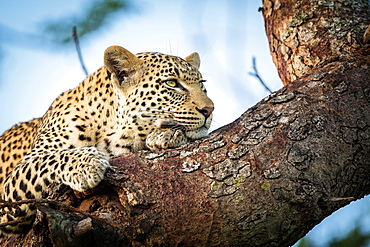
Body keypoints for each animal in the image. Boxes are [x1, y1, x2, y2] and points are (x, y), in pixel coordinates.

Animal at [0, 45, 214, 233]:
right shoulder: (10, 189)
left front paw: (167, 135)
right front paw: (87, 164)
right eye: (172, 83)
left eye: (202, 85)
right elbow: (49, 159)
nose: (209, 109)